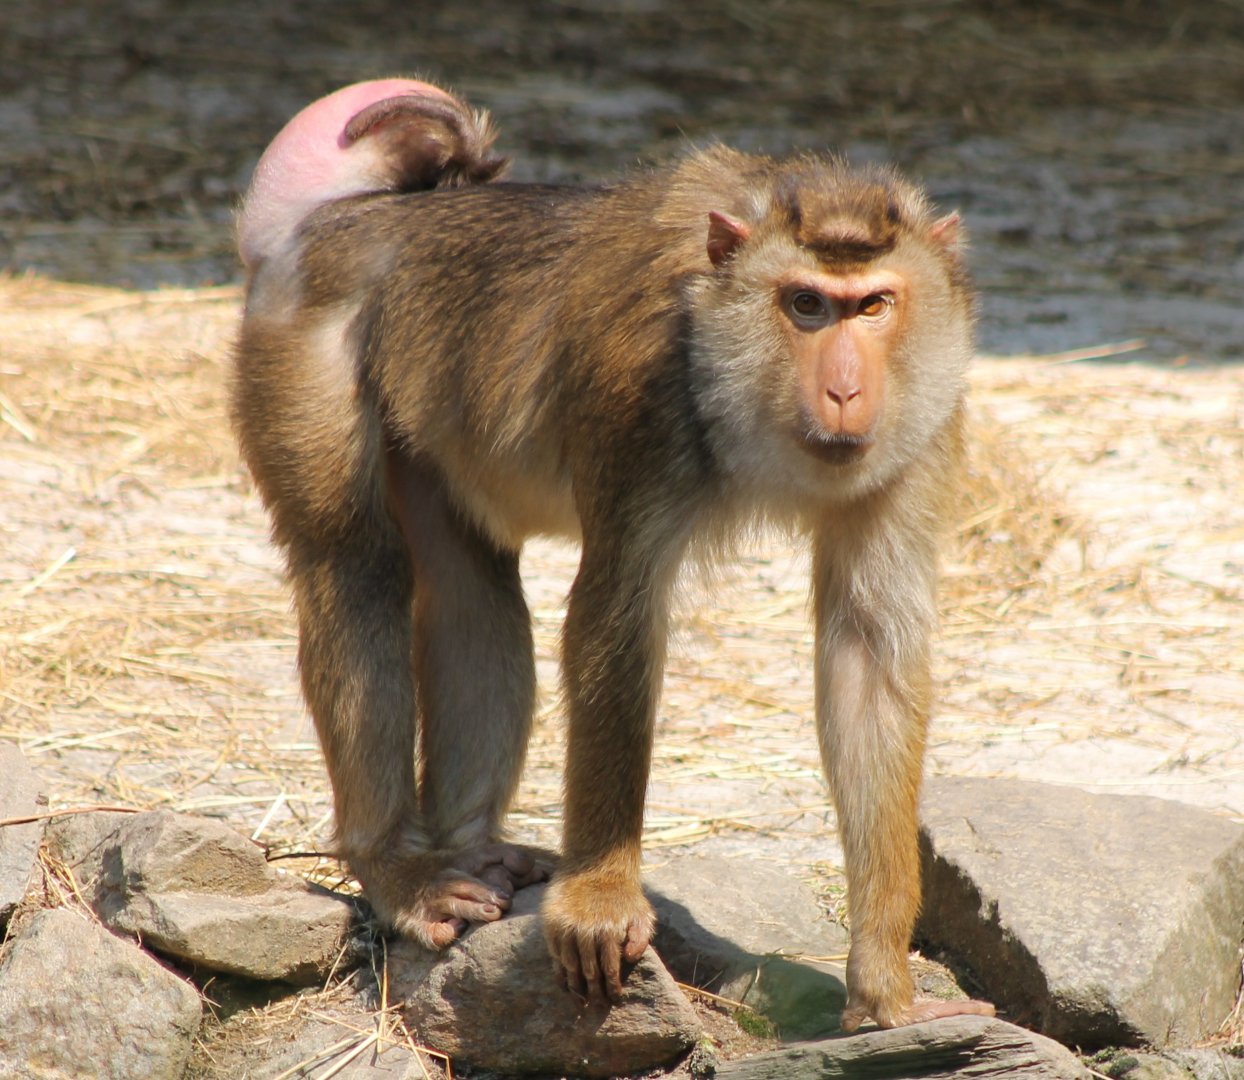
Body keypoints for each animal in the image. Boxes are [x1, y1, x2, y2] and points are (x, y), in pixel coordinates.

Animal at [231, 79, 995, 1032]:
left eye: (875, 305)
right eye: (806, 305)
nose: (848, 390)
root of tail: (351, 217)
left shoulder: (923, 428)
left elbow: (869, 650)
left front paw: (884, 985)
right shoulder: (642, 392)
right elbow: (616, 620)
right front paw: (599, 901)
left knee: (472, 591)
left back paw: (470, 846)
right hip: (303, 343)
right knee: (352, 565)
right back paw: (399, 872)